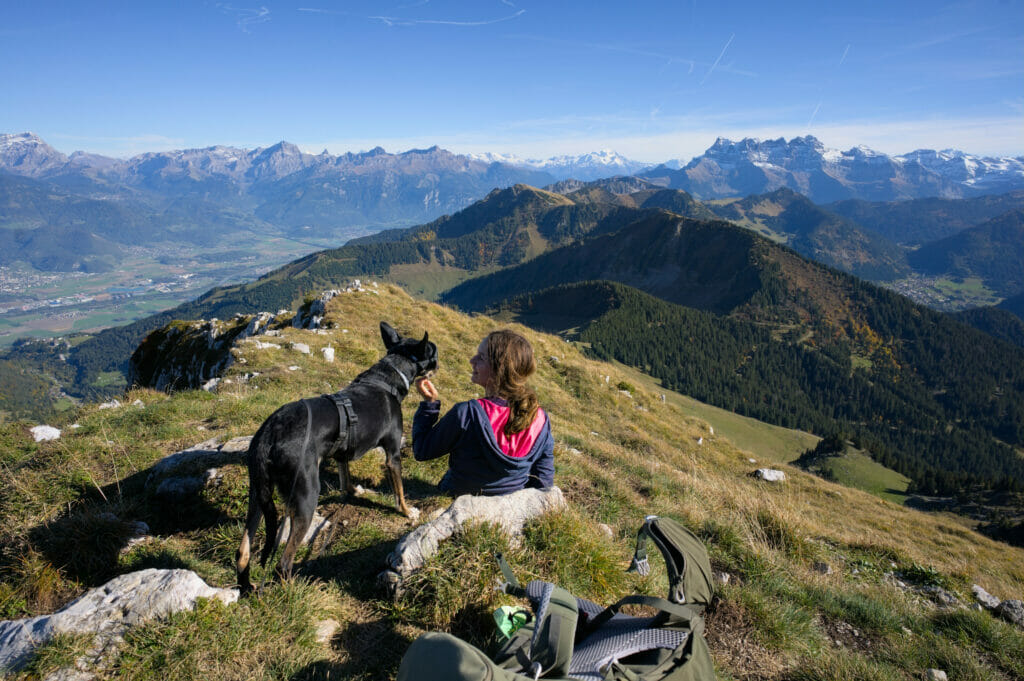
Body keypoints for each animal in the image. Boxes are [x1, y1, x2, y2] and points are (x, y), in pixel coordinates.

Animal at [235, 321, 436, 593]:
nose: (437, 364)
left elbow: (345, 477)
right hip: (306, 495)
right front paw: (407, 512)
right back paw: (295, 590)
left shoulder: (343, 451)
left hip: (257, 494)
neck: (388, 379)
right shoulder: (393, 455)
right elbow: (400, 492)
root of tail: (269, 434)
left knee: (242, 552)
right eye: (434, 352)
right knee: (283, 563)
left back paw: (247, 587)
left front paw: (354, 491)